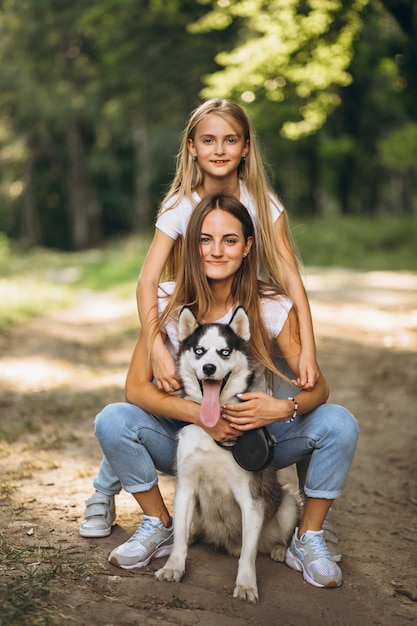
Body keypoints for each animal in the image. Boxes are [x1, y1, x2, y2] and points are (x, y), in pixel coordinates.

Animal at [156, 306, 300, 600]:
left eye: (224, 352)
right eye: (199, 351)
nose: (209, 368)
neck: (212, 431)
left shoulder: (251, 499)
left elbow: (247, 555)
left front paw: (246, 585)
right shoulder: (186, 487)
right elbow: (179, 541)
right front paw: (173, 567)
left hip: (288, 505)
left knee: (274, 536)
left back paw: (280, 550)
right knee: (187, 531)